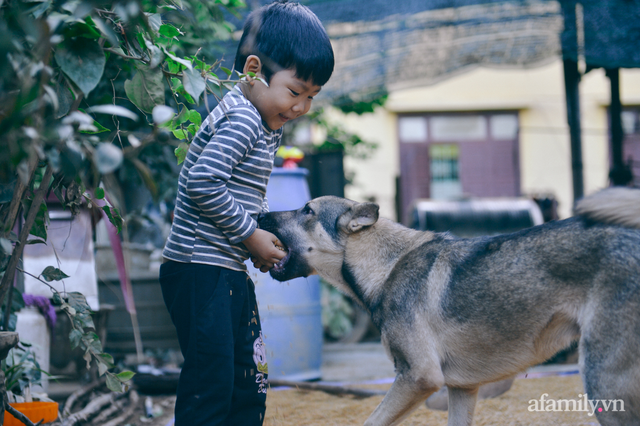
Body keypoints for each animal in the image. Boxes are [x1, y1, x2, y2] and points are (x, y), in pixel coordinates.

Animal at [258, 188, 640, 424]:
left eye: (307, 210)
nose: (259, 218)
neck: (387, 267)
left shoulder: (417, 378)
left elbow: (371, 420)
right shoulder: (462, 390)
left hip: (603, 382)